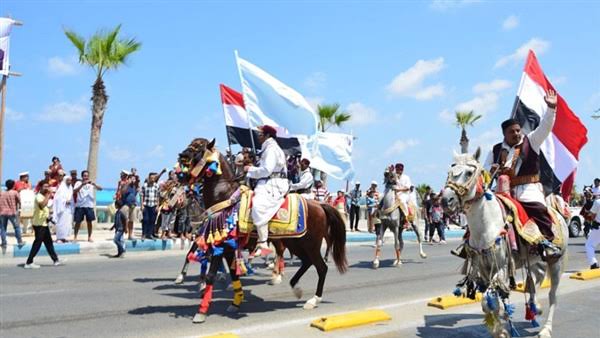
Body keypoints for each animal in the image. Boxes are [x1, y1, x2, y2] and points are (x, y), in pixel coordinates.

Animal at [177, 139, 346, 324]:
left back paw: (313, 299)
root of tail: (320, 205)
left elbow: (211, 275)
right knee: (306, 262)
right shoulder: (227, 247)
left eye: (199, 148)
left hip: (311, 244)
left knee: (321, 267)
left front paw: (201, 312)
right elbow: (233, 274)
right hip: (295, 243)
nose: (181, 156)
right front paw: (236, 302)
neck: (225, 198)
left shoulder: (220, 245)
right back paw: (295, 288)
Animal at [446, 150, 568, 338]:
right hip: (534, 260)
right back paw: (535, 307)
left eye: (469, 172)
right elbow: (490, 303)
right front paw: (500, 328)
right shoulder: (482, 268)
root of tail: (558, 213)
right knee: (536, 279)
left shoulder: (501, 267)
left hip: (556, 262)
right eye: (450, 172)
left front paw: (501, 329)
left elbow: (488, 300)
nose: (446, 200)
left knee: (552, 295)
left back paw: (546, 329)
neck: (486, 225)